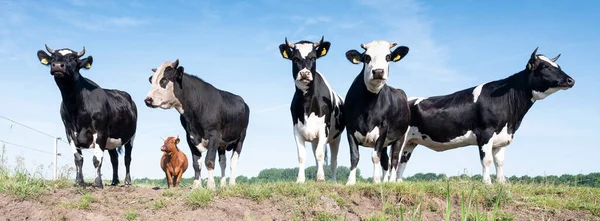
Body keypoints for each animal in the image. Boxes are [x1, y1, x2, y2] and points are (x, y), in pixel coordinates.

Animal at [144, 59, 250, 189]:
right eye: (152, 80)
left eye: (164, 80)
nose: (148, 100)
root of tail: (243, 102)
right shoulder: (190, 137)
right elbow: (196, 163)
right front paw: (196, 186)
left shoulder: (214, 135)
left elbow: (209, 160)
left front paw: (210, 186)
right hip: (222, 144)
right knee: (223, 162)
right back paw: (223, 184)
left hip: (241, 137)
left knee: (233, 161)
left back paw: (232, 184)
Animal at [278, 36, 344, 183]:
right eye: (295, 59)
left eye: (313, 58)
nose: (304, 73)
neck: (307, 102)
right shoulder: (297, 130)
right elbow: (302, 156)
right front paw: (300, 179)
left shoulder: (324, 130)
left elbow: (320, 155)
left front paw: (320, 178)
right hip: (314, 139)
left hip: (336, 138)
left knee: (334, 161)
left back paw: (334, 181)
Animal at [342, 40, 412, 185]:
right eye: (366, 57)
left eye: (388, 57)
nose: (378, 71)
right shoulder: (349, 128)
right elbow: (354, 156)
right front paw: (350, 181)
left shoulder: (383, 129)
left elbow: (375, 156)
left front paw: (376, 180)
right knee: (385, 159)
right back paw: (385, 180)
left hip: (400, 136)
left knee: (394, 158)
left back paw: (391, 181)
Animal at [396, 47, 576, 184]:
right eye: (545, 67)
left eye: (558, 65)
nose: (570, 80)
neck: (512, 119)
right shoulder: (485, 133)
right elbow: (487, 160)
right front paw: (487, 183)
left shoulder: (501, 138)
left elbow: (500, 162)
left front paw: (502, 183)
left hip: (411, 142)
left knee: (402, 162)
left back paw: (398, 183)